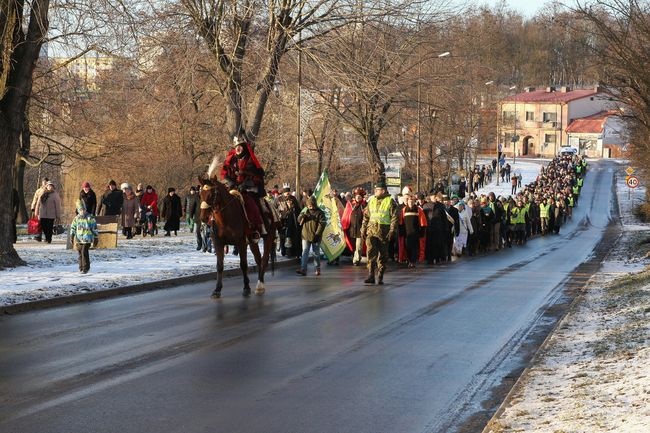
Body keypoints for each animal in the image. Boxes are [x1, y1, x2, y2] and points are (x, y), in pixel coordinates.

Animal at [199, 165, 278, 296]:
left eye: (212, 194)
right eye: (200, 194)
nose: (203, 217)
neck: (226, 219)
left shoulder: (241, 243)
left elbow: (243, 264)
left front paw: (246, 287)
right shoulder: (218, 243)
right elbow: (219, 266)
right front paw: (217, 289)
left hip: (268, 237)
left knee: (265, 259)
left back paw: (260, 285)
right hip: (252, 242)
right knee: (258, 259)